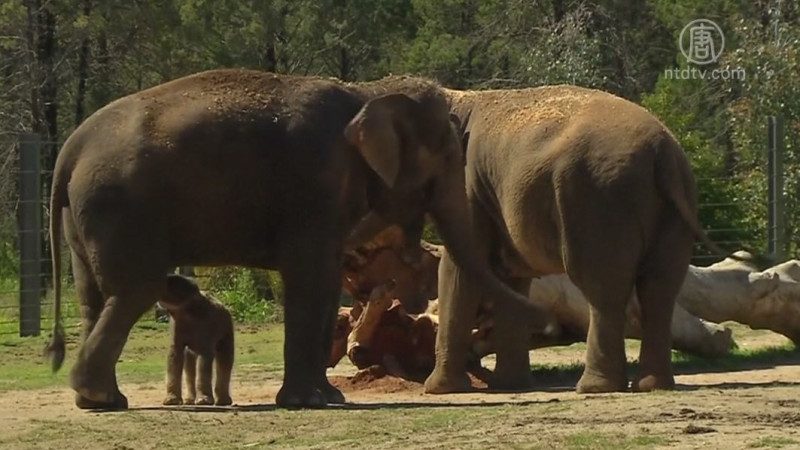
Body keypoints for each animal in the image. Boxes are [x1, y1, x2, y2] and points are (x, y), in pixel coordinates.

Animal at [159, 274, 234, 408]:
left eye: (171, 283)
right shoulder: (176, 324)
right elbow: (174, 355)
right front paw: (171, 402)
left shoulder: (207, 323)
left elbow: (205, 357)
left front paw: (204, 402)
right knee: (189, 362)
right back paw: (189, 401)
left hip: (227, 328)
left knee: (225, 358)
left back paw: (223, 402)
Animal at [424, 84, 712, 394]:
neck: (460, 96)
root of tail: (662, 152)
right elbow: (511, 277)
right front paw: (511, 386)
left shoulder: (468, 186)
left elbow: (458, 269)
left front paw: (439, 389)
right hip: (678, 201)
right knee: (659, 289)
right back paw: (652, 385)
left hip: (598, 198)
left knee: (604, 290)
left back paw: (594, 387)